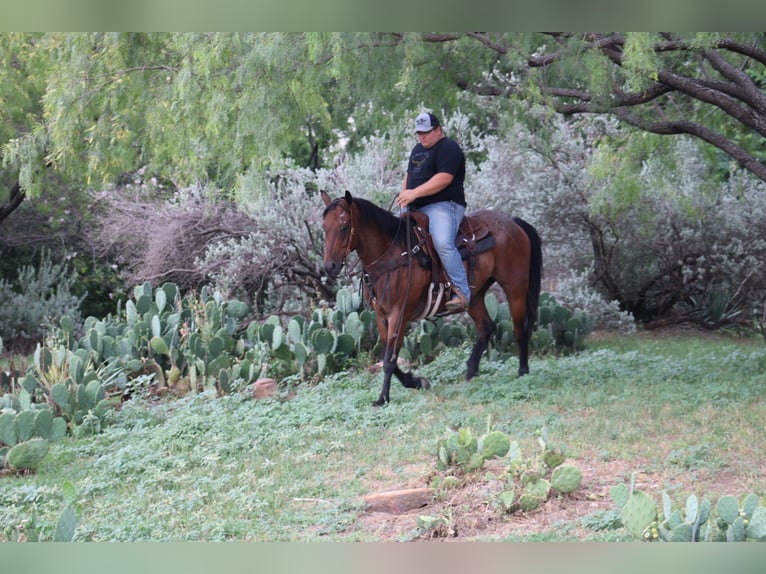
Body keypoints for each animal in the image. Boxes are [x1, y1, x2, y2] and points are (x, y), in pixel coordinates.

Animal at [320, 191, 544, 408]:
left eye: (343, 226)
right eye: (324, 227)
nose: (329, 266)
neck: (391, 254)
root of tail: (513, 222)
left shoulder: (398, 314)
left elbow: (390, 360)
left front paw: (383, 398)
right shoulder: (381, 315)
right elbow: (388, 356)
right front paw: (416, 382)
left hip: (515, 287)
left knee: (520, 328)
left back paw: (523, 371)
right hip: (474, 296)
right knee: (486, 326)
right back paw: (471, 371)